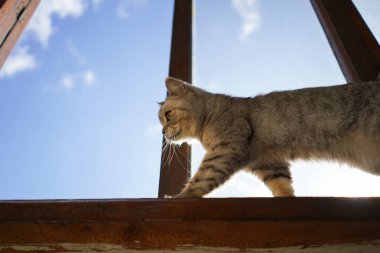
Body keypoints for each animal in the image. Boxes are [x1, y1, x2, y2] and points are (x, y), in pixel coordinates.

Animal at [158, 76, 380, 198]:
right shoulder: (268, 164)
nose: (162, 132)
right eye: (161, 121)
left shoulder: (226, 149)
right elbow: (283, 186)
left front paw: (178, 196)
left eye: (167, 116)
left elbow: (202, 179)